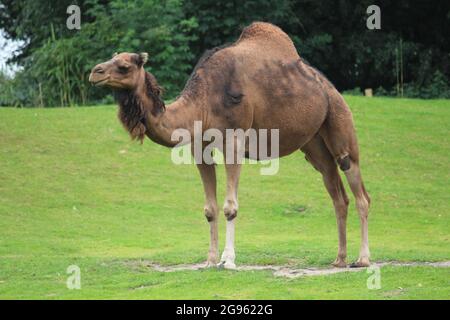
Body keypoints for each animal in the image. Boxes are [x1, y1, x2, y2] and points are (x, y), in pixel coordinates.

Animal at [89, 21, 370, 268]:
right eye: (112, 59)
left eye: (123, 66)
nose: (95, 72)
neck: (202, 101)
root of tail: (329, 89)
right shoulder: (200, 147)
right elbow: (210, 209)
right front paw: (210, 260)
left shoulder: (234, 140)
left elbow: (230, 207)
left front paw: (228, 260)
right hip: (314, 144)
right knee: (337, 193)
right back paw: (339, 259)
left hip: (340, 121)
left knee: (358, 188)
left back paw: (362, 259)